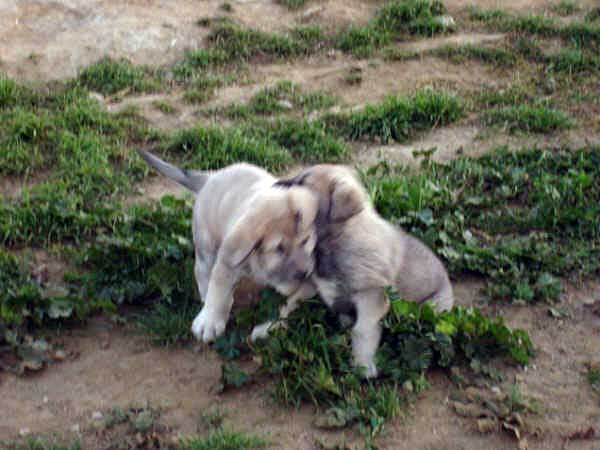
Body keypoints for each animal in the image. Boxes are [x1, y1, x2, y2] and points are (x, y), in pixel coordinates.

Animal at [138, 149, 322, 342]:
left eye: (305, 241)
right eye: (279, 249)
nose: (305, 273)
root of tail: (210, 177)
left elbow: (287, 303)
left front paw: (269, 327)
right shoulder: (227, 260)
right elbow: (218, 292)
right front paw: (209, 322)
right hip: (206, 242)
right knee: (202, 271)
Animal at [251, 163, 452, 378]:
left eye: (304, 181)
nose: (275, 185)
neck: (333, 241)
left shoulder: (371, 296)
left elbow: (361, 329)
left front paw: (363, 364)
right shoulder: (313, 285)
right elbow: (287, 303)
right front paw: (266, 328)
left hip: (431, 308)